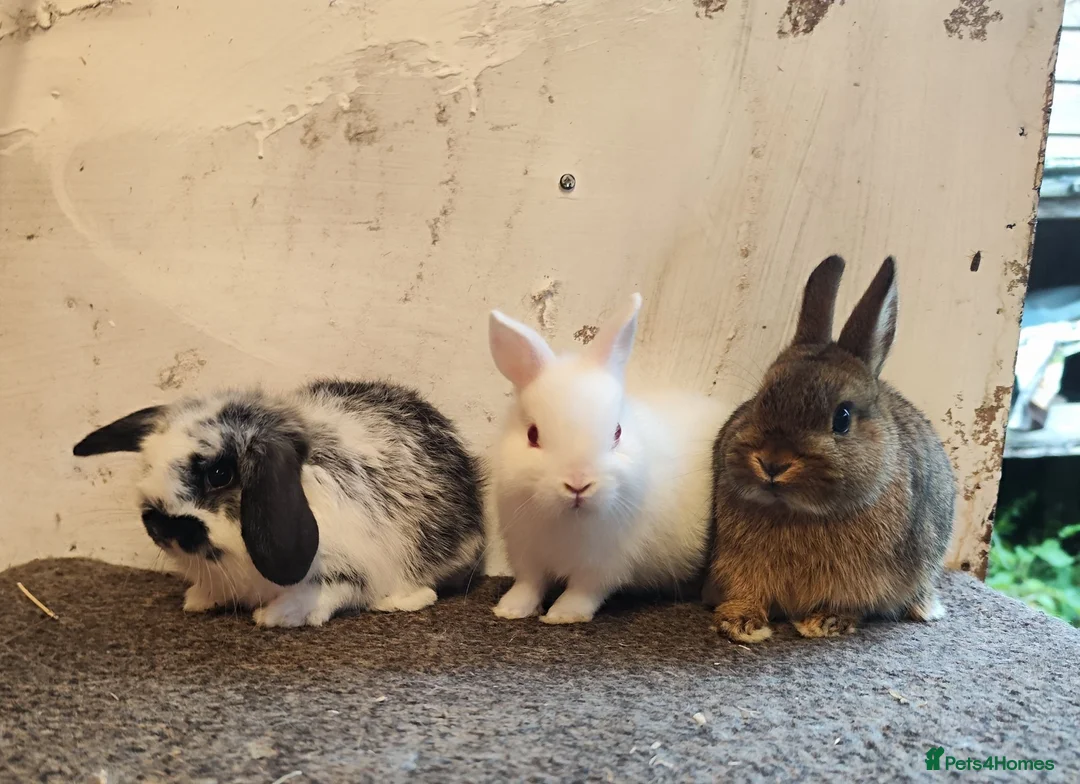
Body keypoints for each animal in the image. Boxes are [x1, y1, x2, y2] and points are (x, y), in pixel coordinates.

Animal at [72, 378, 485, 627]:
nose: (159, 525)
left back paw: (400, 600)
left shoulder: (348, 571)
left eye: (220, 474)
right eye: (148, 463)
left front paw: (273, 616)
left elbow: (323, 594)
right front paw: (199, 599)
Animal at [487, 293, 732, 624]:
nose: (578, 484)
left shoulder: (606, 564)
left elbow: (584, 591)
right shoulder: (526, 551)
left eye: (617, 432)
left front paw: (562, 615)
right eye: (532, 435)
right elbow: (529, 584)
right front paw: (510, 610)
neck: (570, 521)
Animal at [706, 255, 955, 643]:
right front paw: (741, 623)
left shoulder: (864, 578)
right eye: (761, 399)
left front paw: (825, 622)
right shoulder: (739, 564)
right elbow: (747, 591)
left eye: (842, 418)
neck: (798, 511)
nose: (772, 463)